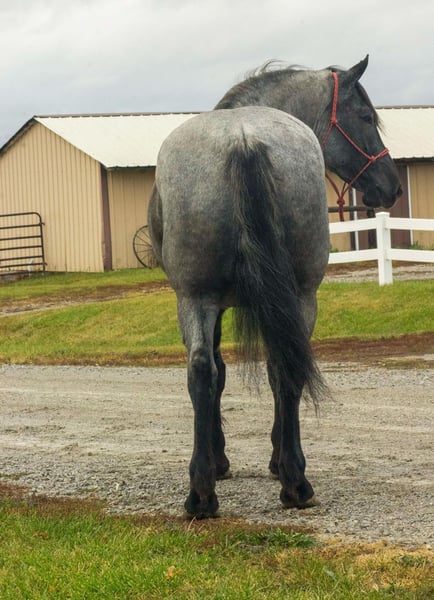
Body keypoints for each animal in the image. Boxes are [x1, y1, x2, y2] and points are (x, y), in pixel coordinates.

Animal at [148, 56, 402, 518]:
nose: (391, 186)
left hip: (199, 298)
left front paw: (223, 461)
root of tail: (244, 138)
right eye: (364, 116)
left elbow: (220, 373)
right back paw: (285, 483)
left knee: (209, 370)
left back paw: (213, 491)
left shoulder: (214, 305)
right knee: (277, 367)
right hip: (292, 296)